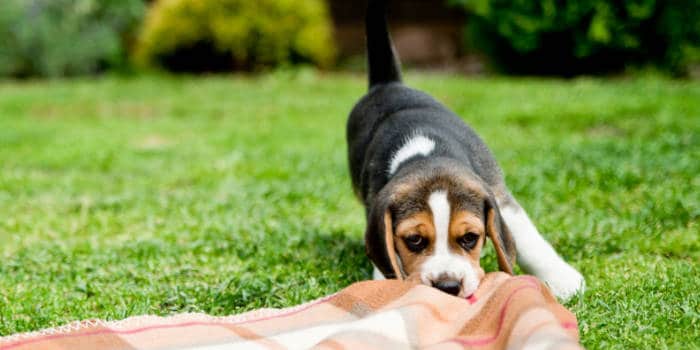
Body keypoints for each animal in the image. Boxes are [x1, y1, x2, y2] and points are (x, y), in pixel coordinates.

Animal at [346, 0, 584, 300]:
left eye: (470, 238)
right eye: (414, 240)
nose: (448, 286)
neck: (428, 155)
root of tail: (388, 85)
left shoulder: (498, 193)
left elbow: (528, 239)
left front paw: (563, 280)